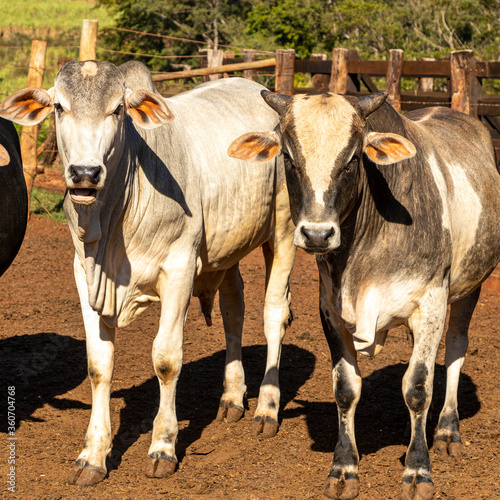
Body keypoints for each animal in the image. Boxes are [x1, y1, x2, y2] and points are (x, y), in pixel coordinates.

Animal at [0, 61, 294, 484]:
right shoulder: (84, 275)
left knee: (274, 313)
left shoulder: (180, 269)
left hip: (283, 229)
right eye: (58, 106)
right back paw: (232, 397)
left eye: (118, 110)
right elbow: (99, 366)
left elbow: (167, 360)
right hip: (228, 249)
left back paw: (267, 408)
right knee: (233, 308)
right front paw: (93, 455)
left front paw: (163, 447)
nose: (84, 173)